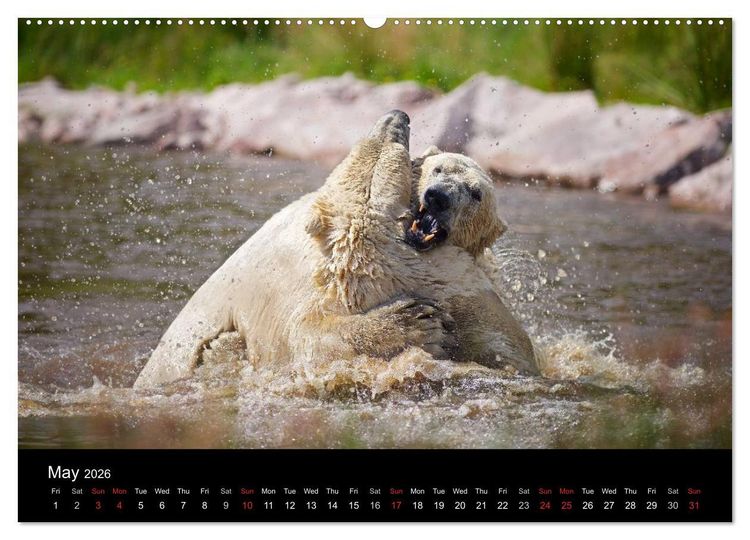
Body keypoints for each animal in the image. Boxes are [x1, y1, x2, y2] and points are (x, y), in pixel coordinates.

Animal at [134, 110, 538, 389]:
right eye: (436, 169)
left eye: (476, 193)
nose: (399, 115)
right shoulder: (297, 289)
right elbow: (308, 340)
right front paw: (415, 321)